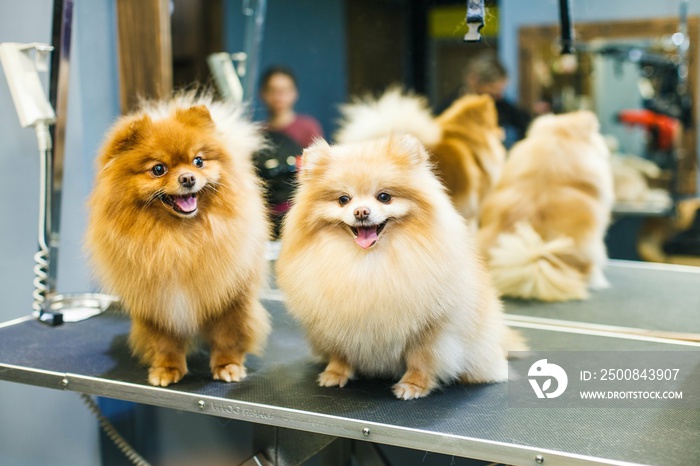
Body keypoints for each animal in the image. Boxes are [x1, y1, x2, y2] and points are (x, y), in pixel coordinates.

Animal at [87, 93, 270, 386]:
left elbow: (228, 335)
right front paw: (166, 368)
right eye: (158, 169)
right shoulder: (157, 303)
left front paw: (228, 365)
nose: (188, 178)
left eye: (198, 161)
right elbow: (165, 342)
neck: (179, 240)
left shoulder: (232, 298)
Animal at [276, 133, 524, 398]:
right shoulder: (337, 320)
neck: (367, 262)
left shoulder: (431, 328)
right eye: (343, 199)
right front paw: (335, 373)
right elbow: (340, 351)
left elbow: (422, 358)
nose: (361, 211)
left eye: (384, 197)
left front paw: (414, 385)